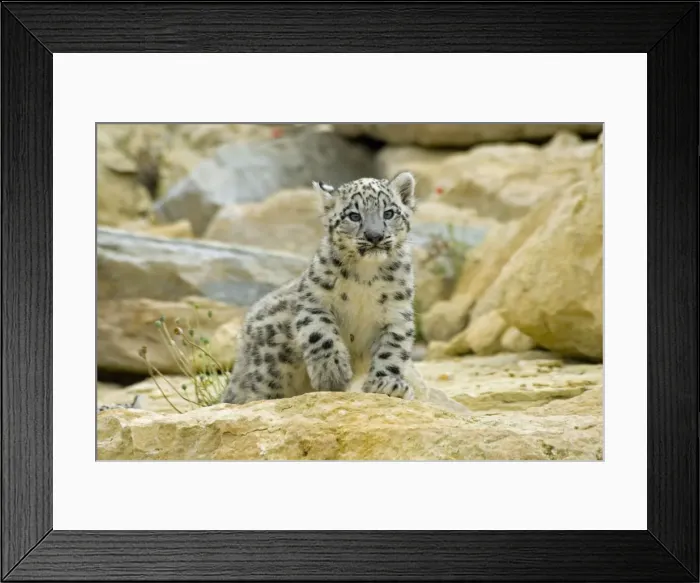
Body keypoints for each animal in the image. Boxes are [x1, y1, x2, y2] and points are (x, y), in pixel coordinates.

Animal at [220, 171, 421, 405]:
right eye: (354, 216)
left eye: (389, 213)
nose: (375, 236)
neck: (366, 276)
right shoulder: (314, 300)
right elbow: (320, 332)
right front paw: (331, 372)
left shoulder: (397, 314)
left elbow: (391, 350)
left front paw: (386, 384)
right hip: (267, 370)